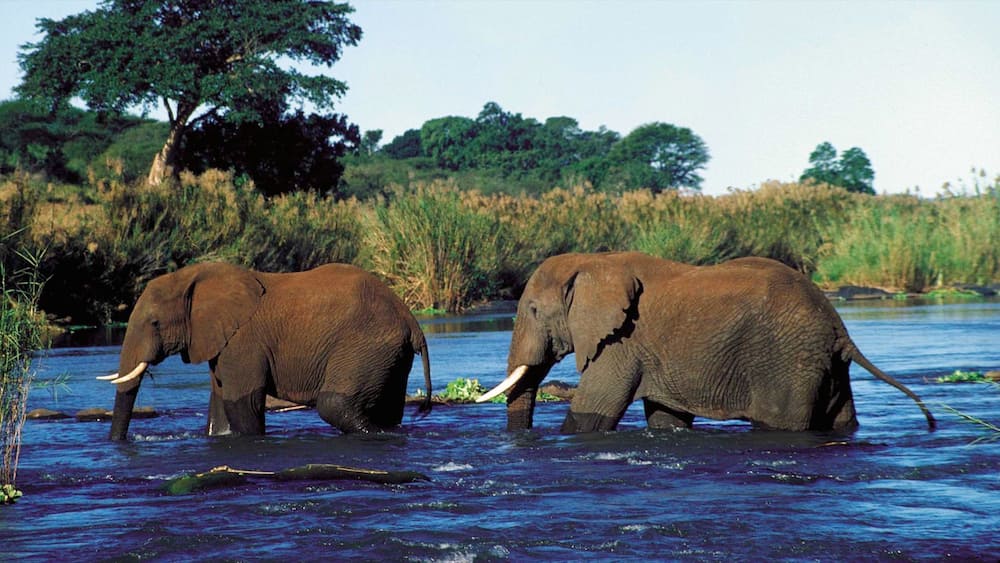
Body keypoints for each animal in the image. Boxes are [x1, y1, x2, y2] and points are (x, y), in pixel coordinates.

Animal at [98, 262, 432, 440]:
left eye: (155, 323)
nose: (120, 444)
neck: (192, 276)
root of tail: (411, 320)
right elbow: (219, 405)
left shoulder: (243, 341)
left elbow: (241, 403)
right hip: (388, 355)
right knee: (387, 409)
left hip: (366, 344)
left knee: (334, 404)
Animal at [478, 251, 936, 433]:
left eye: (533, 310)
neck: (594, 261)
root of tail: (839, 328)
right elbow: (667, 420)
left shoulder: (621, 343)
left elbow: (592, 414)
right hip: (825, 365)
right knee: (841, 419)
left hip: (788, 364)